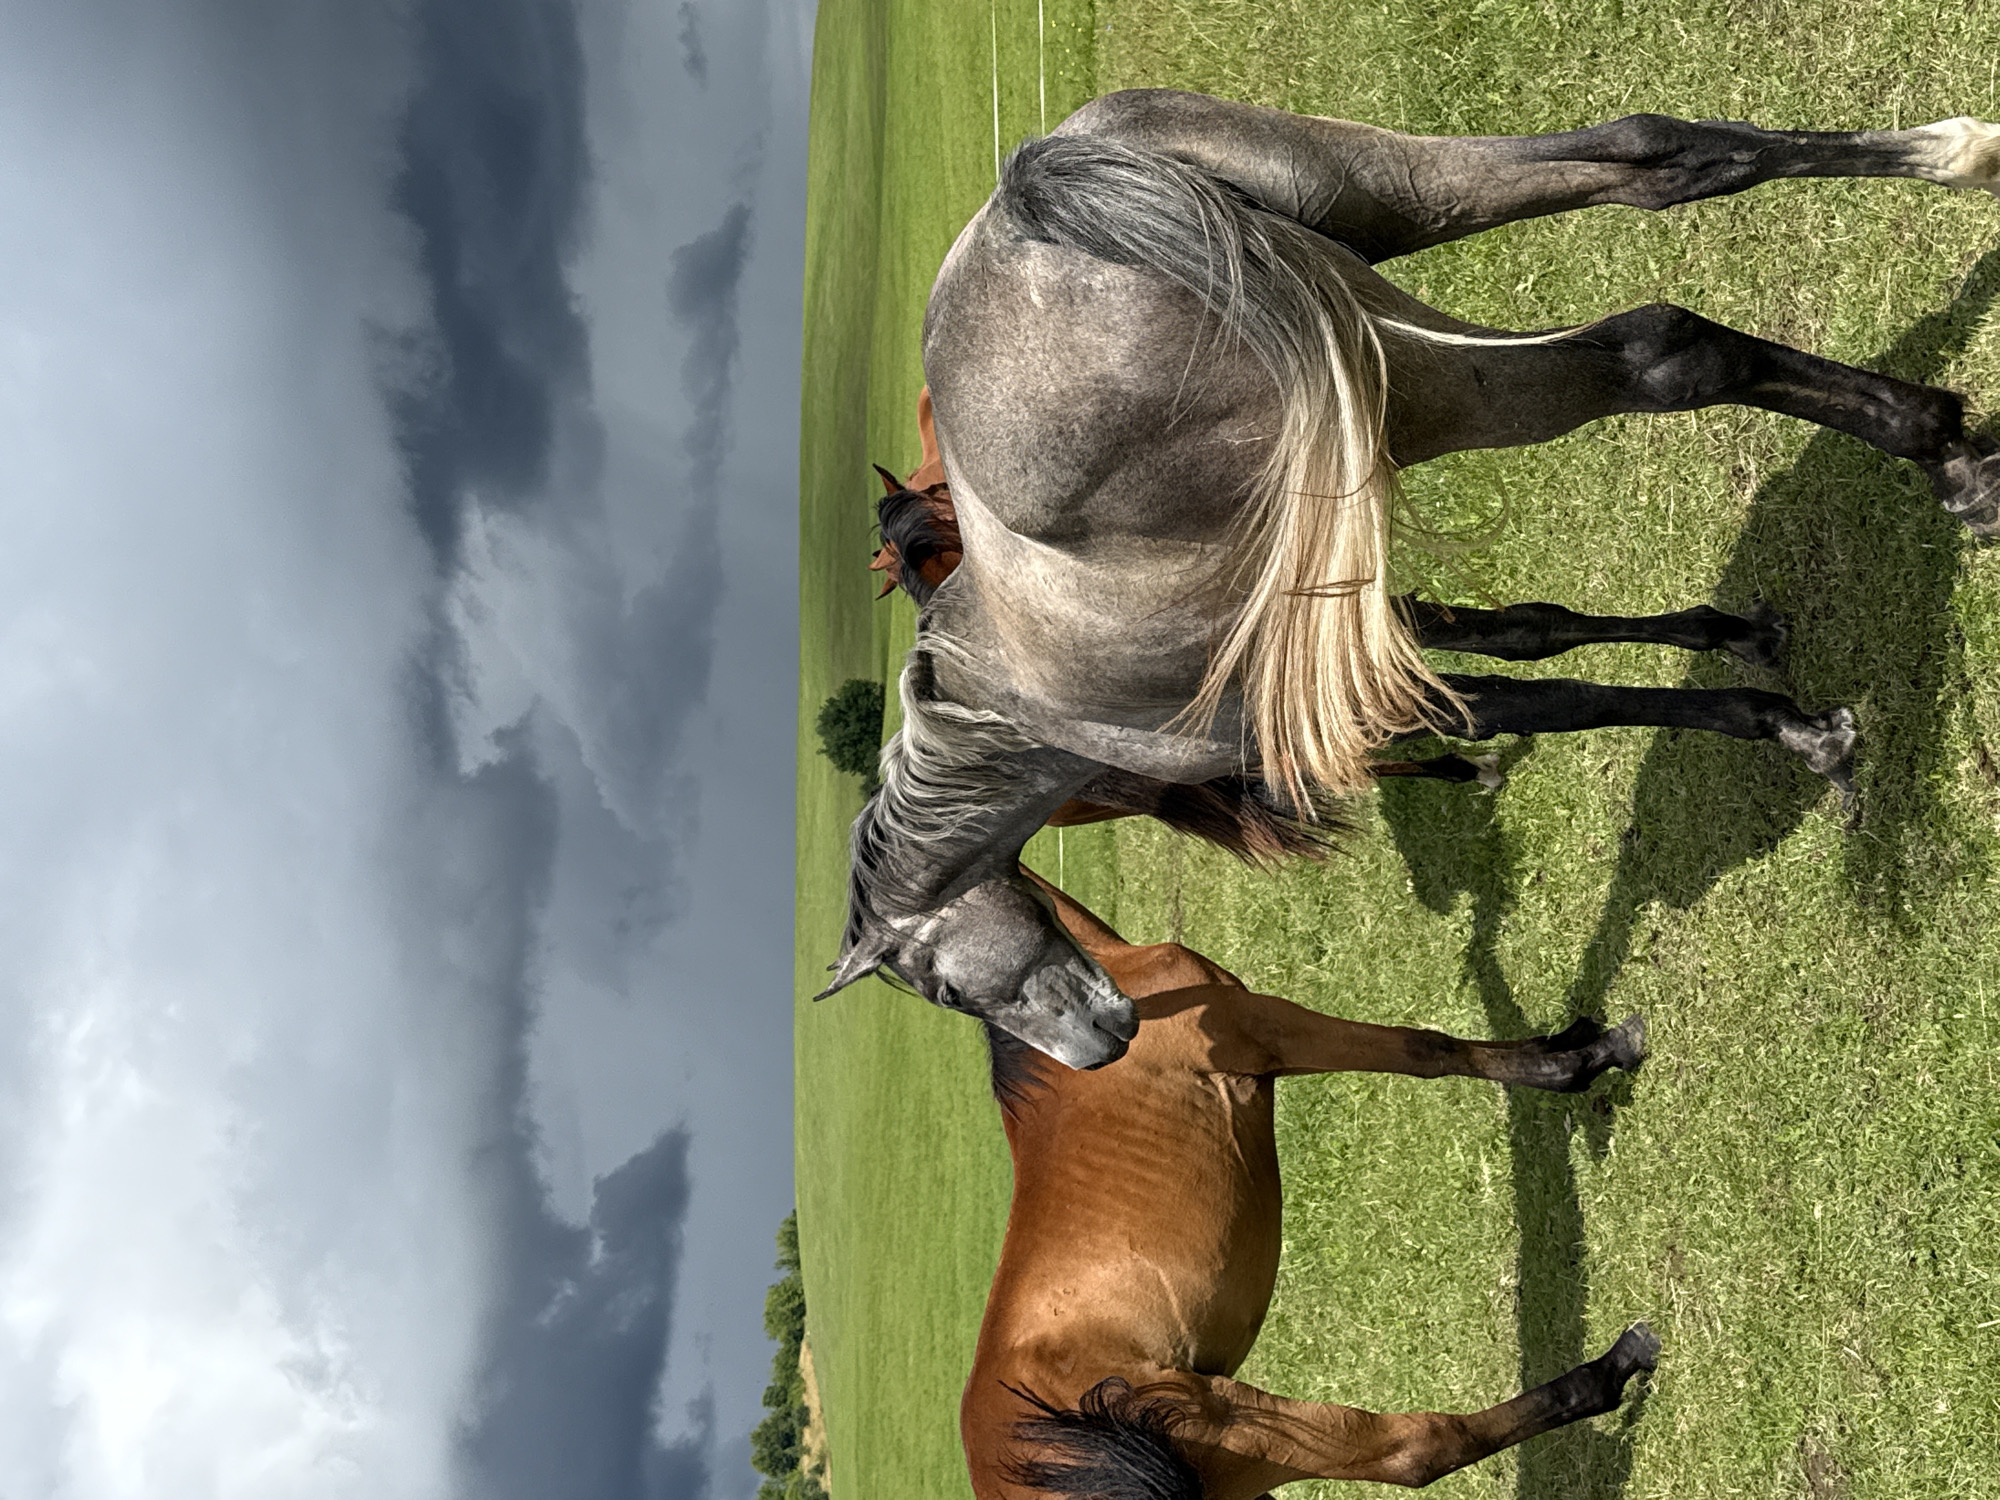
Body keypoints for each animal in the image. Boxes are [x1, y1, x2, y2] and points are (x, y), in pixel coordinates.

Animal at [822, 90, 2000, 1070]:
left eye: (938, 987)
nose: (1097, 1052)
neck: (1022, 706)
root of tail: (1034, 198)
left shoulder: (1351, 696)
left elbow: (1542, 699)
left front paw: (1792, 729)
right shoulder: (1352, 627)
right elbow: (1526, 634)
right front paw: (1734, 641)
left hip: (1408, 390)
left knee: (1655, 352)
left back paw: (1942, 454)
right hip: (1392, 214)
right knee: (1660, 160)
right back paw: (1960, 181)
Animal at [961, 869, 1657, 1497]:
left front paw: (1569, 1041)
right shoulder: (1269, 1031)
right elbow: (1426, 1050)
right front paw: (1589, 1059)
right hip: (1245, 1419)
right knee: (1419, 1448)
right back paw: (1614, 1367)